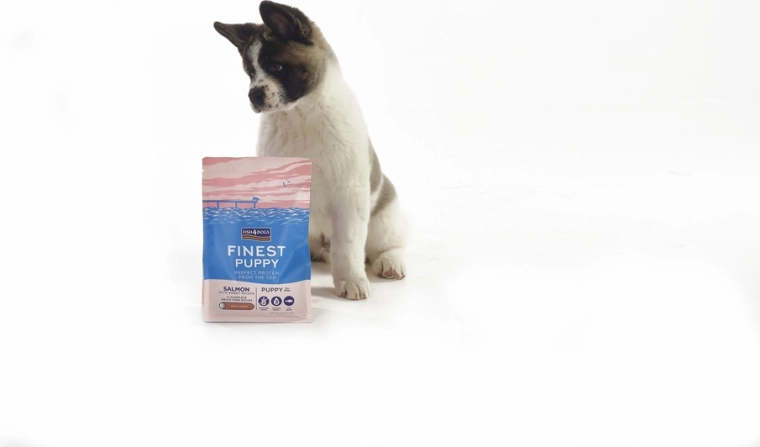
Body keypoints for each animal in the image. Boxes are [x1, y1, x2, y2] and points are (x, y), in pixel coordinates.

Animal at [214, 1, 405, 300]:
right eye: (251, 73)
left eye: (277, 66)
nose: (253, 94)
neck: (299, 115)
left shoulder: (349, 196)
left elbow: (348, 243)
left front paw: (351, 279)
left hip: (384, 217)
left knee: (387, 245)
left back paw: (390, 262)